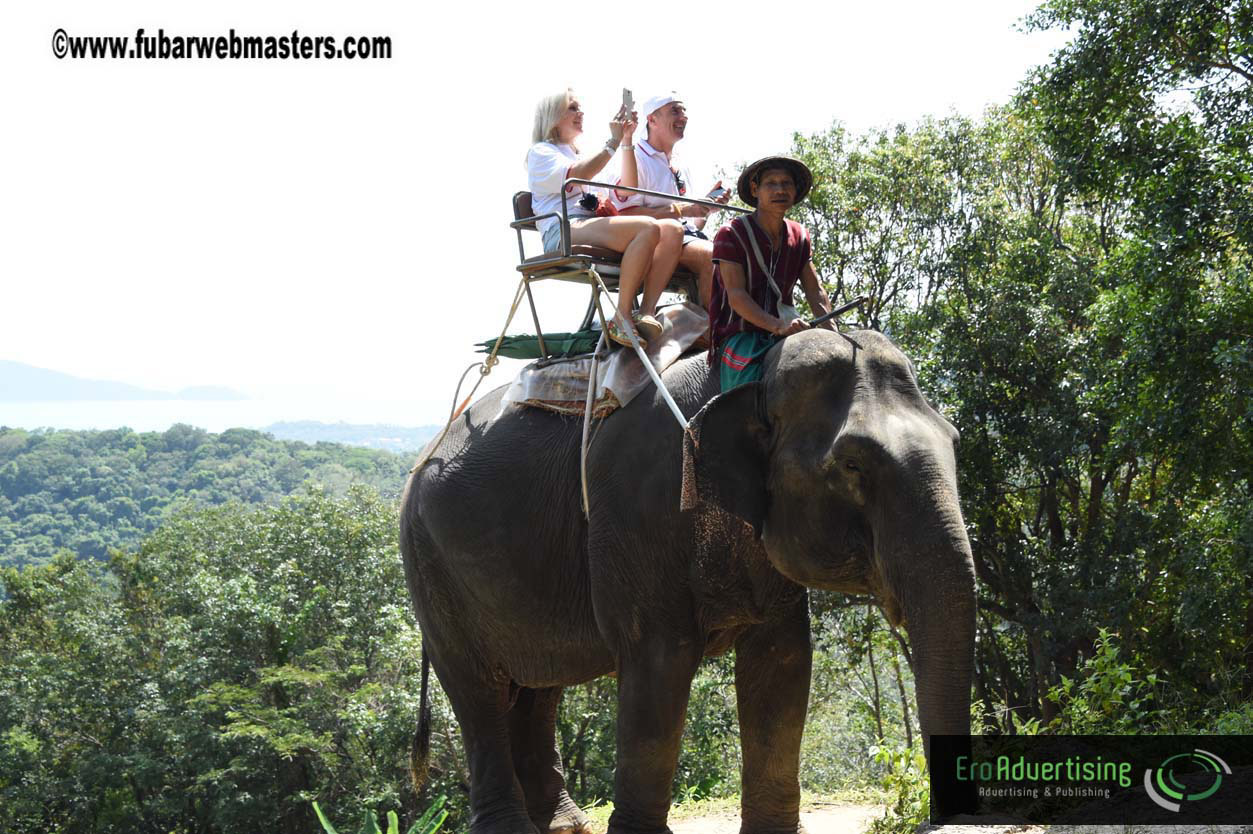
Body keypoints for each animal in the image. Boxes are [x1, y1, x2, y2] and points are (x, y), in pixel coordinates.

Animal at [400, 327, 976, 834]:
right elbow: (661, 663)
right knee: (479, 691)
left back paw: (564, 825)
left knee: (539, 687)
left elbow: (782, 666)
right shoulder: (638, 510)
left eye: (955, 440)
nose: (936, 821)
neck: (753, 374)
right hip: (429, 566)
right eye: (852, 464)